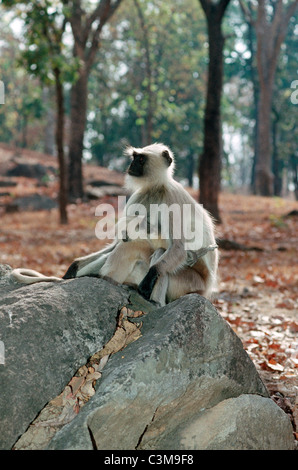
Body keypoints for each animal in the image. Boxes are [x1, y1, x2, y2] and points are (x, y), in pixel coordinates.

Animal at [10, 142, 218, 304]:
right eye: (134, 157)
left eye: (140, 159)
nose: (131, 165)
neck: (156, 187)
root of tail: (207, 289)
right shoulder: (140, 196)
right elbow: (120, 240)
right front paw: (75, 266)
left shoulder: (172, 198)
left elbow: (179, 247)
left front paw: (150, 279)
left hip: (188, 283)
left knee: (160, 252)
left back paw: (154, 301)